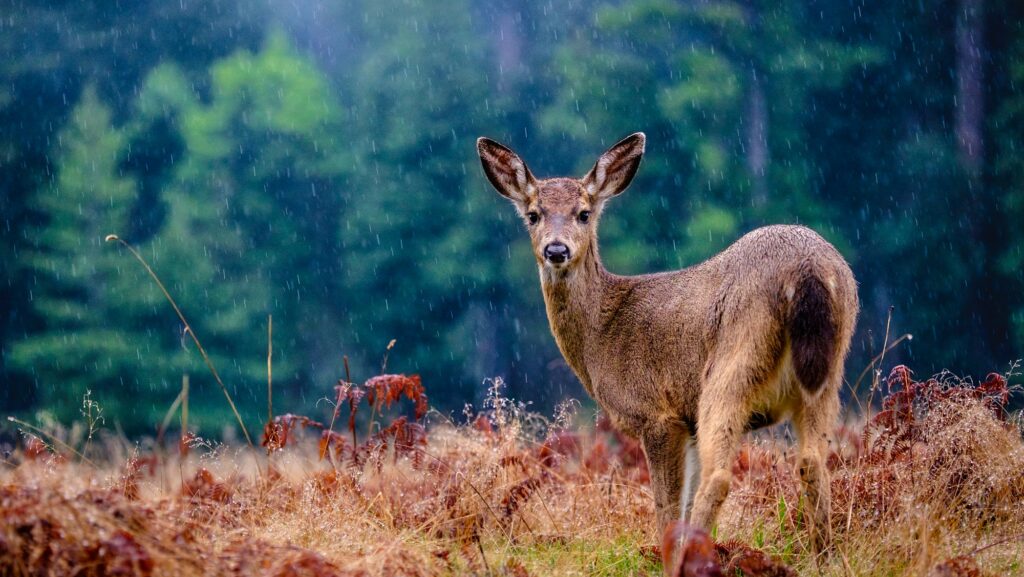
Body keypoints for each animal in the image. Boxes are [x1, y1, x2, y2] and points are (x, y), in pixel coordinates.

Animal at [475, 133, 860, 553]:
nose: (556, 250)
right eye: (533, 214)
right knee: (812, 461)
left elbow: (667, 509)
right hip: (828, 371)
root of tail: (807, 269)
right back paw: (823, 554)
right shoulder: (686, 422)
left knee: (720, 475)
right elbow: (681, 504)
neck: (601, 334)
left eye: (584, 213)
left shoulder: (656, 413)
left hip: (733, 363)